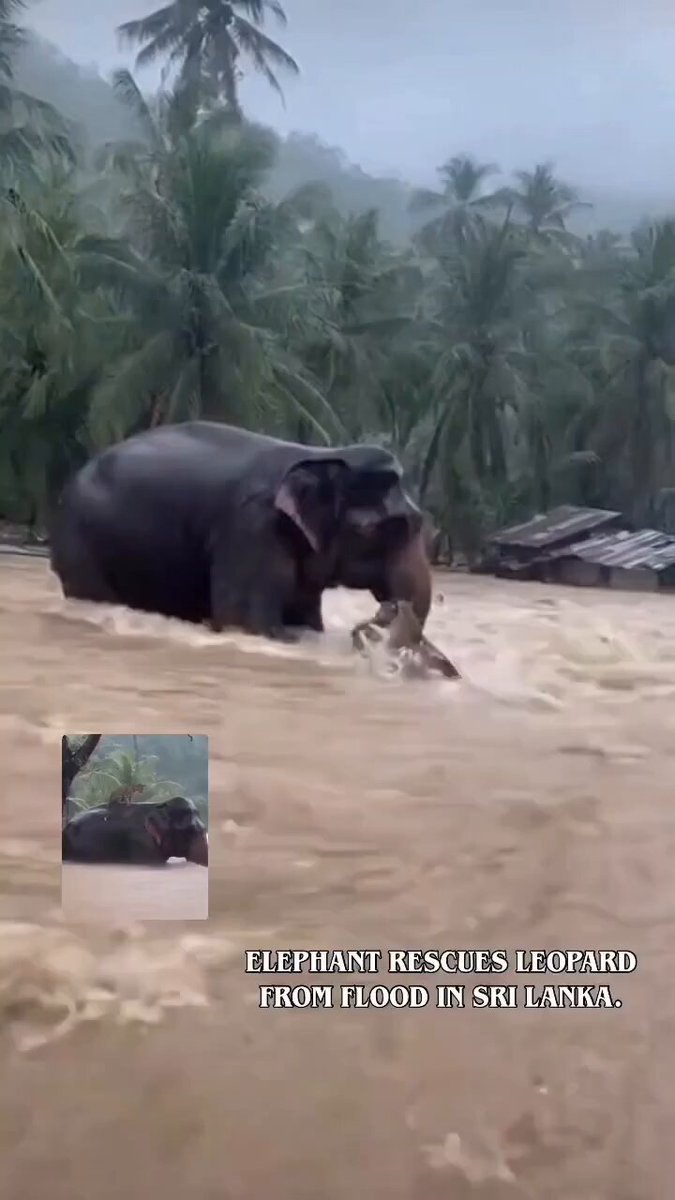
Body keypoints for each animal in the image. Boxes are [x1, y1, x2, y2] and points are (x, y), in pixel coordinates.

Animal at [49, 421, 432, 641]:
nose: (380, 615)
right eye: (371, 530)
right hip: (81, 546)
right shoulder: (251, 529)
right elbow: (245, 623)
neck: (324, 455)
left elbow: (304, 617)